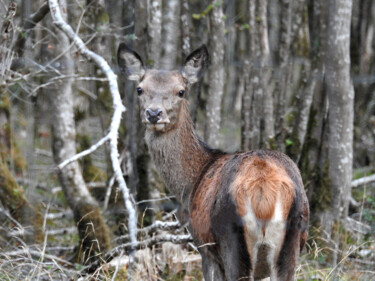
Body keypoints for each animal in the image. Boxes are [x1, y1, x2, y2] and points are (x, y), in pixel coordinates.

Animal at [118, 42, 312, 280]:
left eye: (181, 91)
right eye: (140, 89)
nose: (154, 113)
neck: (191, 183)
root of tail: (263, 191)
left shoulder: (204, 246)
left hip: (231, 241)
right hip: (294, 237)